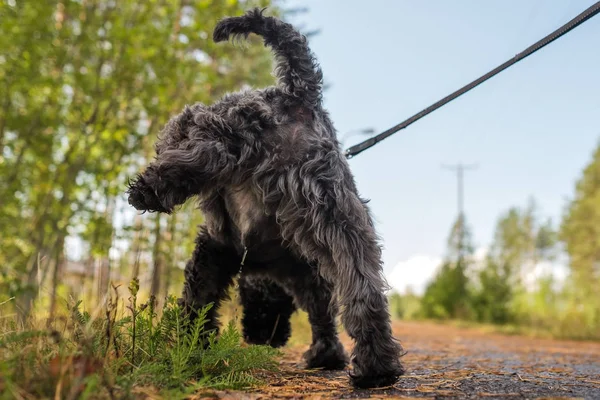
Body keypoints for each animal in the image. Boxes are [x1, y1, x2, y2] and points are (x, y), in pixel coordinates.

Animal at [128, 7, 406, 388]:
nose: (265, 338)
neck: (264, 264)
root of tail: (300, 95)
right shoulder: (305, 276)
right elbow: (321, 312)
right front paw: (327, 354)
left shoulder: (214, 248)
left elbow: (198, 299)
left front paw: (191, 346)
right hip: (337, 217)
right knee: (364, 287)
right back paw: (376, 367)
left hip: (222, 131)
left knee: (197, 153)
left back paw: (148, 189)